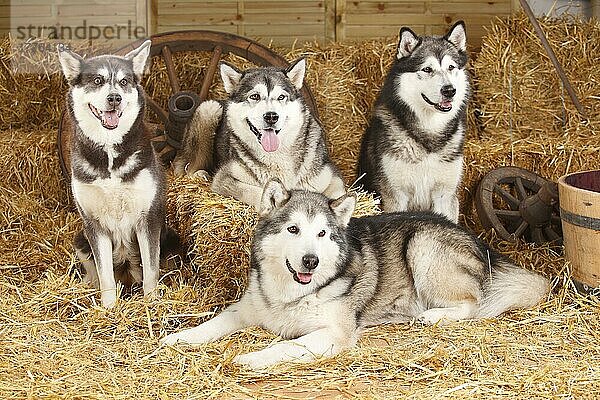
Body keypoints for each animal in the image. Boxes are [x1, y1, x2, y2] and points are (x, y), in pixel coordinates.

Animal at [57, 40, 177, 308]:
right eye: (97, 80)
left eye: (124, 81)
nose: (115, 98)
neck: (110, 149)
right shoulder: (93, 224)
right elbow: (106, 277)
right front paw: (109, 308)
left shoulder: (148, 218)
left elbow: (151, 271)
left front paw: (151, 304)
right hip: (80, 241)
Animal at [162, 180, 552, 370]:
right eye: (293, 229)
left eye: (322, 234)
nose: (310, 261)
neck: (294, 293)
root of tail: (478, 241)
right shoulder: (245, 309)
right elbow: (211, 324)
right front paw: (179, 338)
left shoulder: (333, 334)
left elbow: (287, 344)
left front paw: (251, 358)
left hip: (422, 245)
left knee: (474, 302)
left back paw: (434, 316)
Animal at [358, 21, 472, 223]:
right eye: (427, 69)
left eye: (451, 67)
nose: (449, 90)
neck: (429, 132)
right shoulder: (395, 195)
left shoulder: (445, 194)